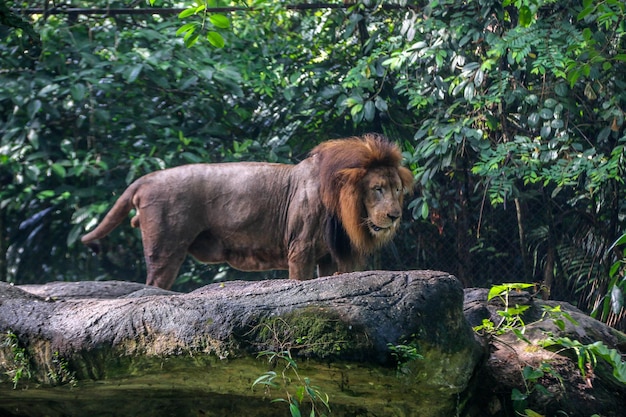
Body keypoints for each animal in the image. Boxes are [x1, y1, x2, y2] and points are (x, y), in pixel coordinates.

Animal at [83, 134, 414, 290]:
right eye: (377, 189)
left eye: (397, 189)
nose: (395, 216)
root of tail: (146, 179)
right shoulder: (301, 248)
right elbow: (299, 282)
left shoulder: (328, 255)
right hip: (166, 249)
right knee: (153, 287)